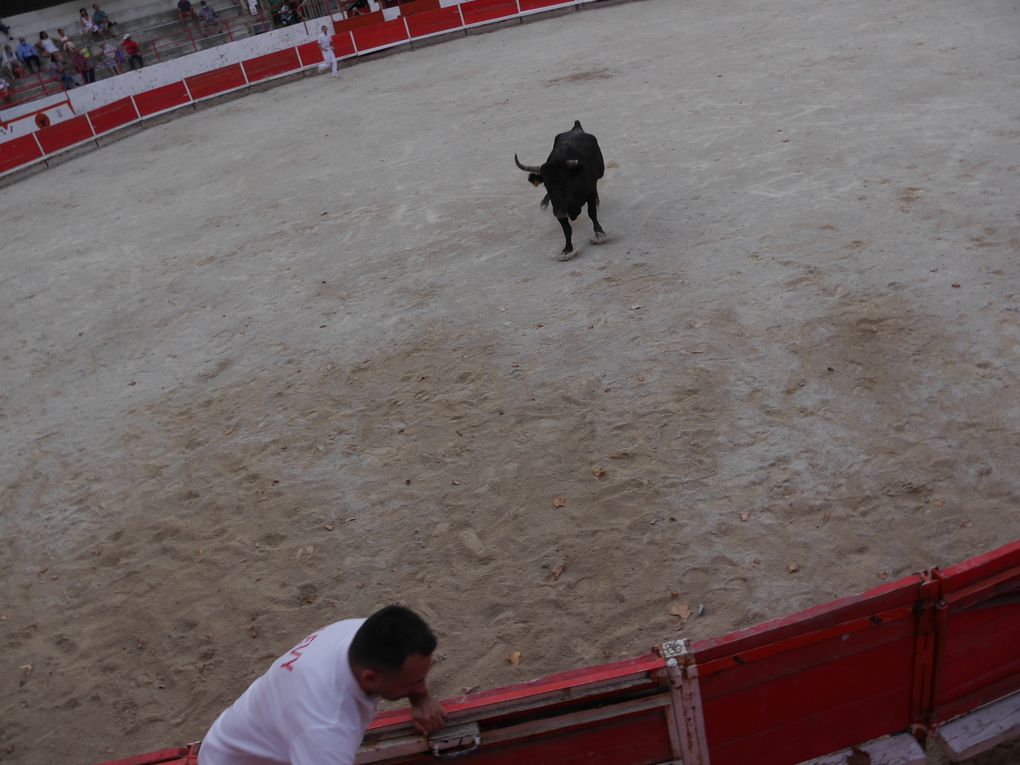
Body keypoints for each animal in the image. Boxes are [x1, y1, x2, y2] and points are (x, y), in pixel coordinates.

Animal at [514, 120, 599, 261]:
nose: (560, 212)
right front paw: (567, 250)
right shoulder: (558, 208)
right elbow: (567, 229)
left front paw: (600, 234)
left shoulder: (590, 193)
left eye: (566, 183)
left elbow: (592, 214)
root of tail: (576, 127)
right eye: (546, 185)